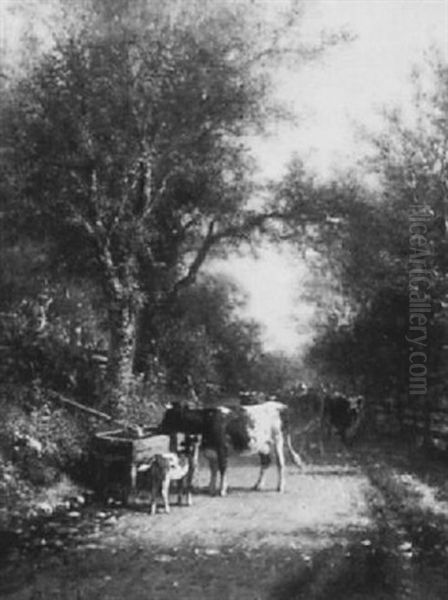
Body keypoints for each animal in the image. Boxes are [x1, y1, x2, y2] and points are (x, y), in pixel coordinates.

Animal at [158, 404, 304, 496]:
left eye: (170, 416)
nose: (159, 427)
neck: (207, 420)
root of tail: (282, 406)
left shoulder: (222, 449)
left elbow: (222, 468)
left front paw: (222, 490)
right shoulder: (210, 451)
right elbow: (213, 470)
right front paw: (211, 488)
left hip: (278, 439)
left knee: (280, 463)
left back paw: (280, 487)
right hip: (263, 445)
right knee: (266, 462)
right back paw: (258, 485)